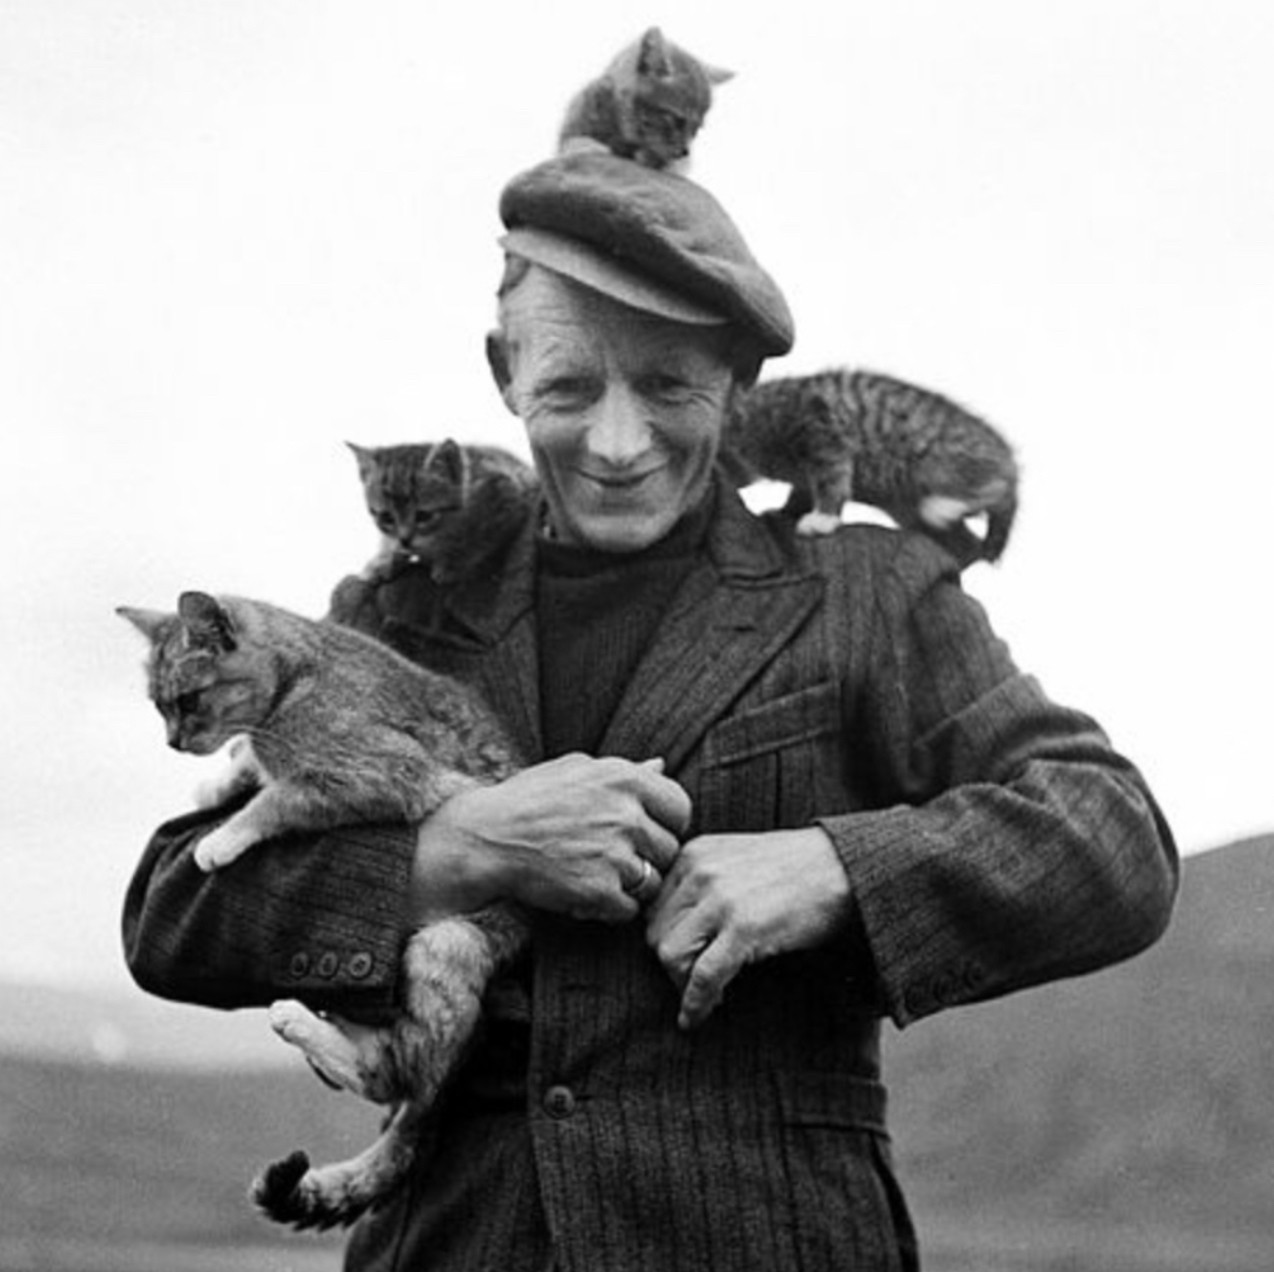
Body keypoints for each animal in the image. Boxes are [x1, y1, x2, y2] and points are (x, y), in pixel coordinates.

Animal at [113, 591, 522, 1228]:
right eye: (159, 707)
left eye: (188, 700)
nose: (173, 743)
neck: (295, 681)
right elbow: (252, 770)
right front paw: (218, 784)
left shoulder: (382, 773)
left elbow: (280, 798)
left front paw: (221, 837)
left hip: (448, 942)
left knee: (400, 1073)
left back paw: (309, 1025)